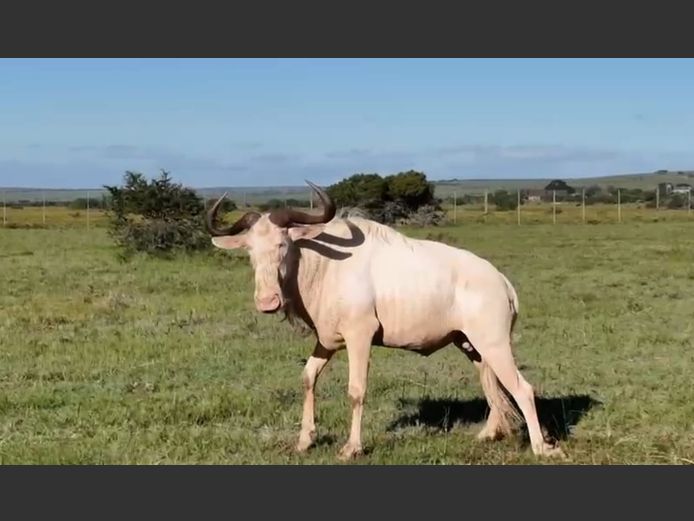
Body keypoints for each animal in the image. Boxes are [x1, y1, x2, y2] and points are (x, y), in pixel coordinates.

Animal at [206, 181, 564, 460]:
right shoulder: (326, 341)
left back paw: (540, 447)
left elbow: (356, 390)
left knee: (521, 388)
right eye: (250, 251)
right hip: (470, 344)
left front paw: (352, 447)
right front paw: (305, 439)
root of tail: (502, 282)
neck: (324, 265)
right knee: (491, 383)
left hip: (494, 343)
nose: (268, 302)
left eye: (283, 244)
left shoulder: (360, 337)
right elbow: (307, 378)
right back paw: (489, 434)